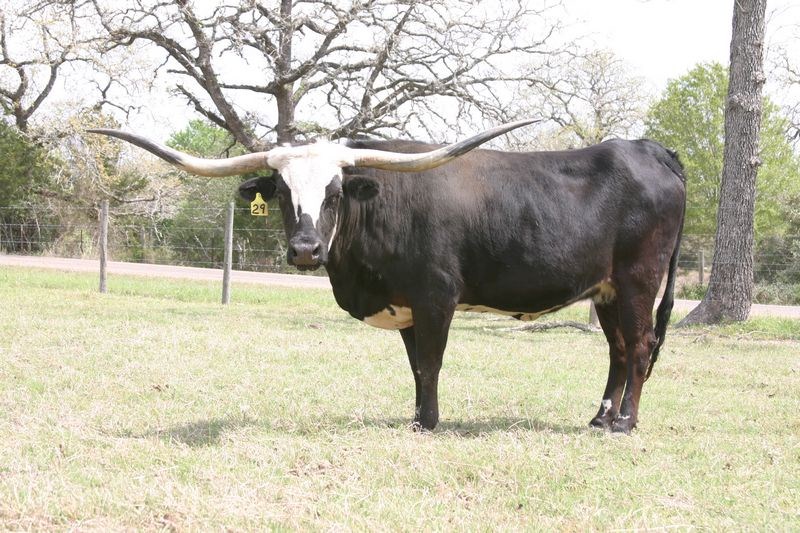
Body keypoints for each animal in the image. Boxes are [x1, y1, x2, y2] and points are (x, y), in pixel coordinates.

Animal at [89, 120, 685, 434]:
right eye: (281, 192)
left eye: (334, 192)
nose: (305, 250)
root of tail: (648, 148)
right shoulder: (405, 307)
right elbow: (415, 367)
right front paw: (418, 417)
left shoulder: (436, 296)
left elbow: (431, 361)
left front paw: (431, 423)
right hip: (605, 289)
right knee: (617, 349)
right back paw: (600, 418)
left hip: (638, 280)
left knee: (639, 347)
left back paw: (625, 423)